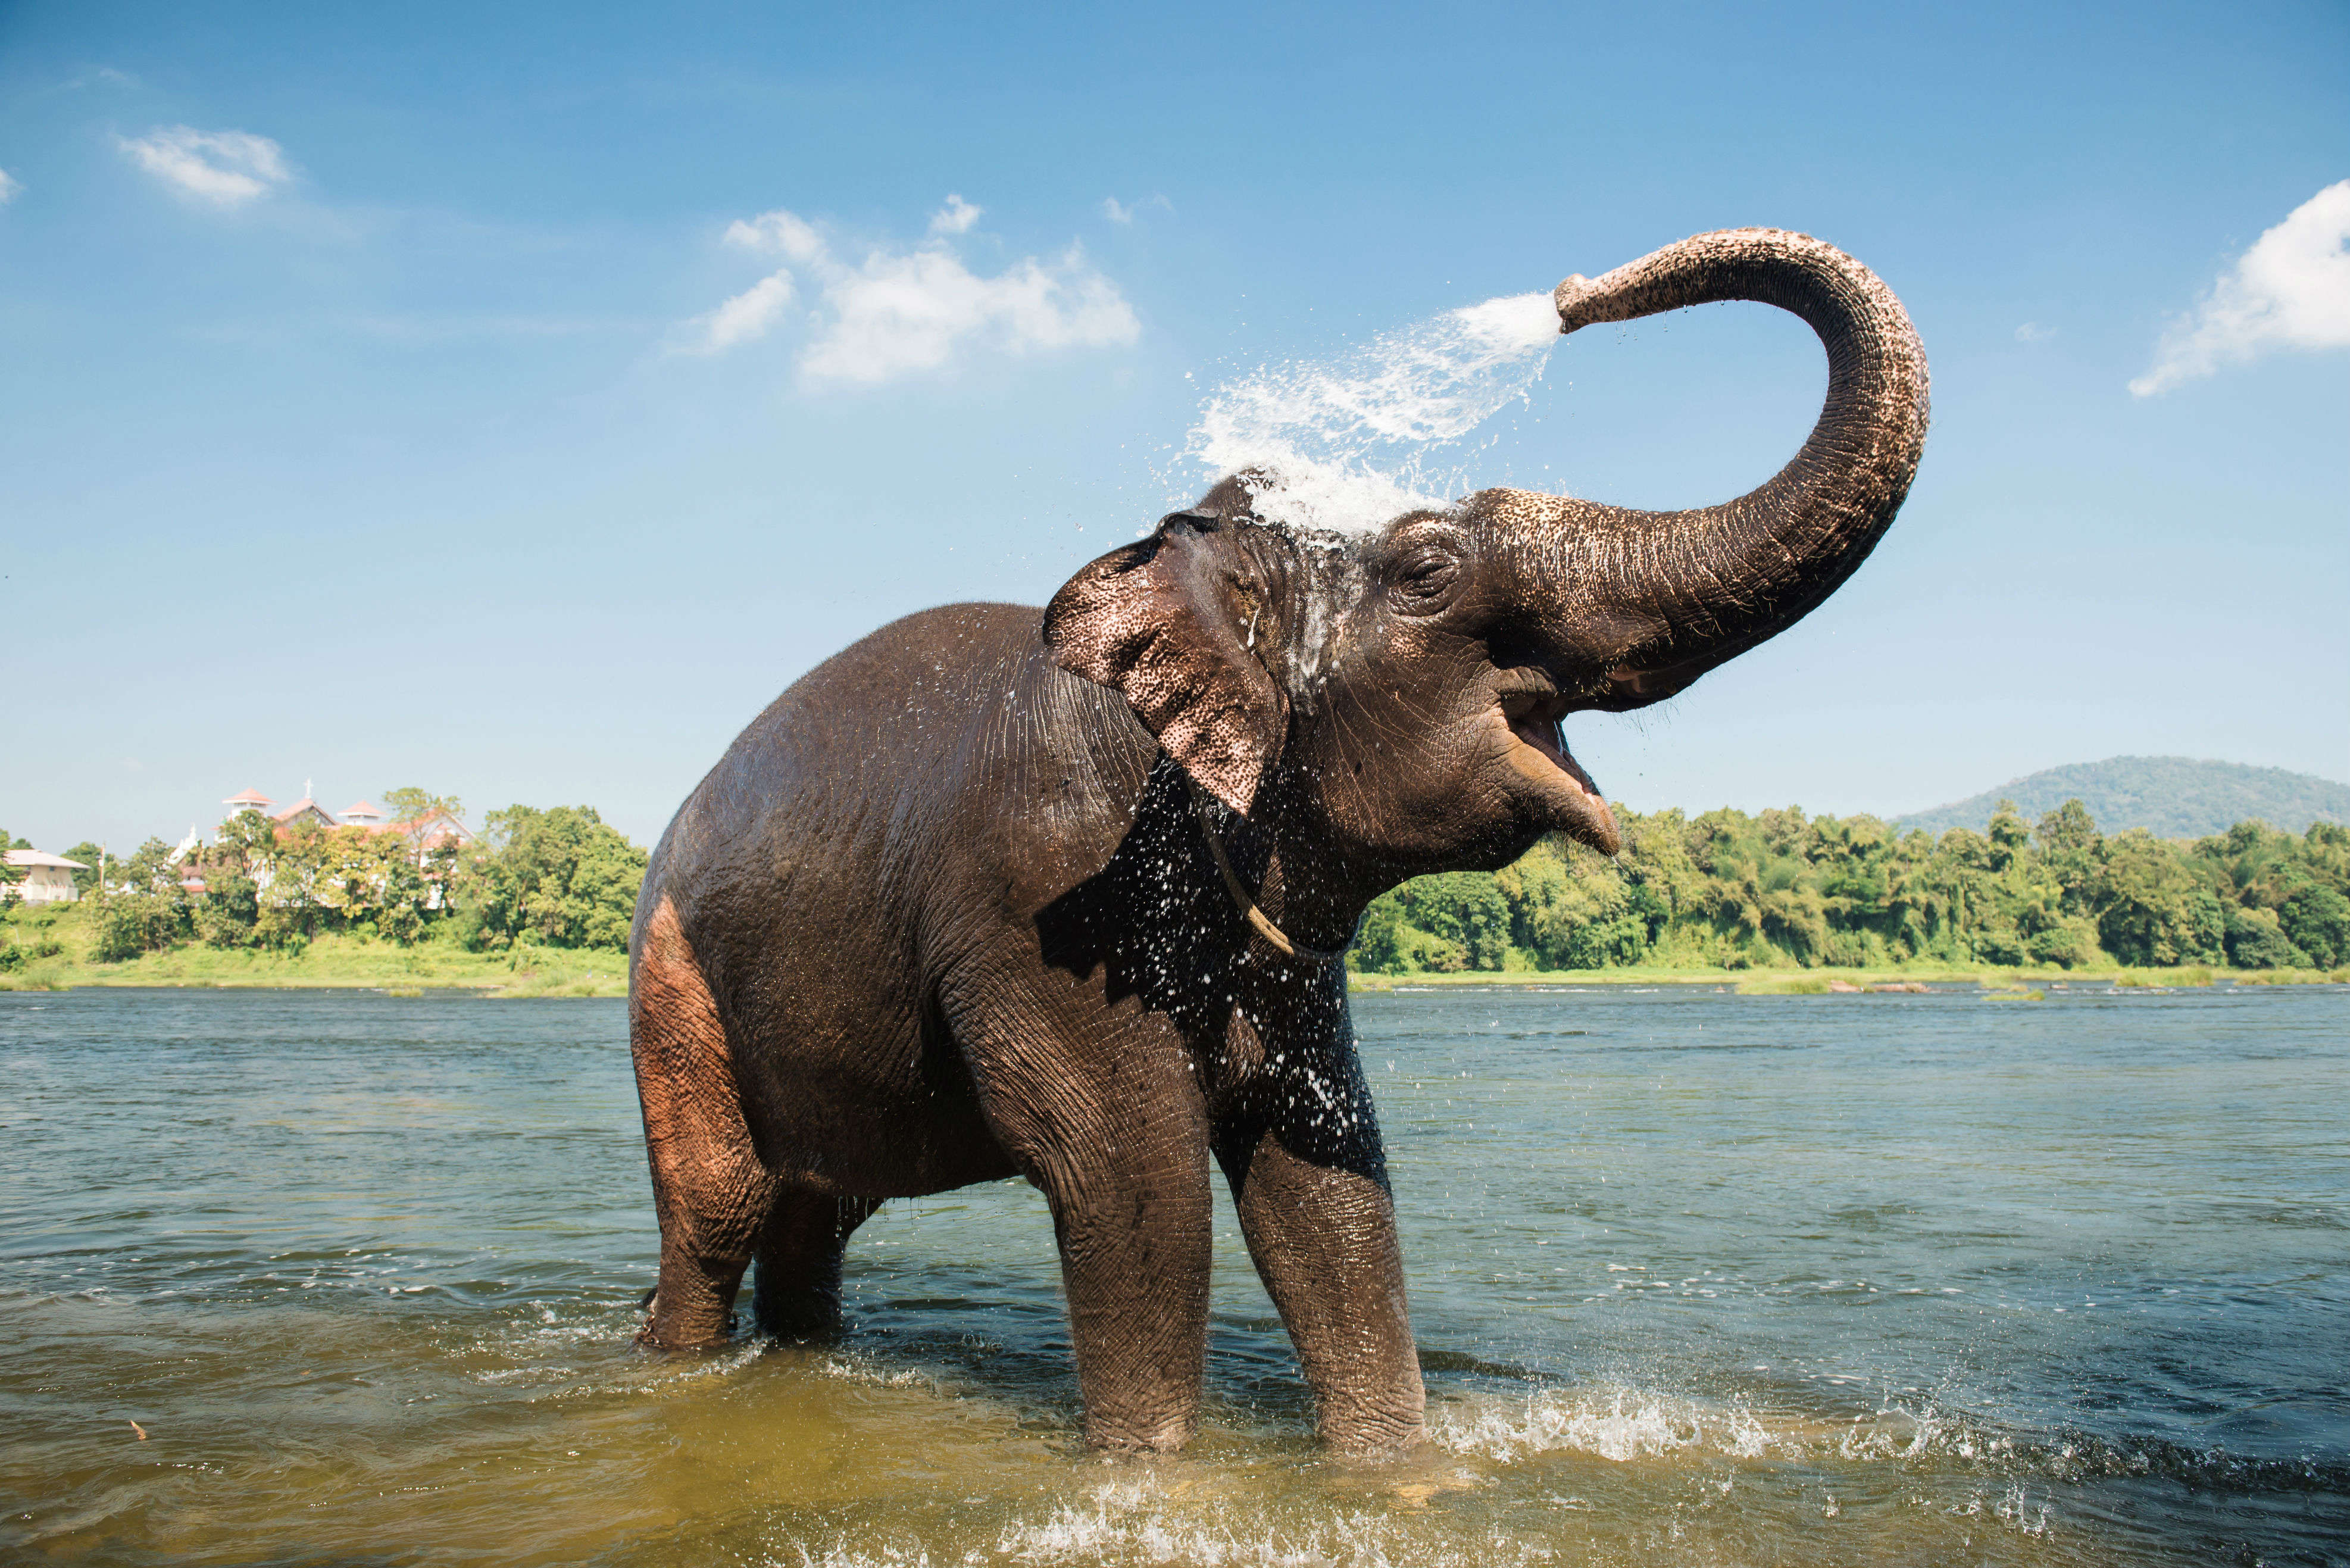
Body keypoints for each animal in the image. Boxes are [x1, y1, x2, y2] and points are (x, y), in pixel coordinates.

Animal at [625, 227, 1927, 1457]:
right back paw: (676, 1362)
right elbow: (1130, 1177)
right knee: (720, 1210)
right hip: (670, 981)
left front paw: (1395, 1470)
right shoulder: (1042, 896)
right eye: (1429, 568)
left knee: (820, 1208)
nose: (1569, 295)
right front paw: (1150, 1475)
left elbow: (1323, 1175)